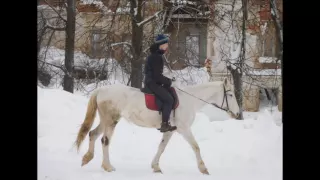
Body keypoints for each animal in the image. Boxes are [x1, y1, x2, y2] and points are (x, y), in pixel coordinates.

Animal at [75, 77, 240, 174]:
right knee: (105, 141)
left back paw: (87, 159)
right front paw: (203, 168)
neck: (190, 100)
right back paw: (108, 166)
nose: (238, 114)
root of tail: (101, 90)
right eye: (231, 95)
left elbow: (162, 147)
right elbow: (196, 146)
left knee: (93, 134)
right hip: (111, 120)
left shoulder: (170, 130)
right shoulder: (184, 129)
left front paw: (156, 166)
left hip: (105, 120)